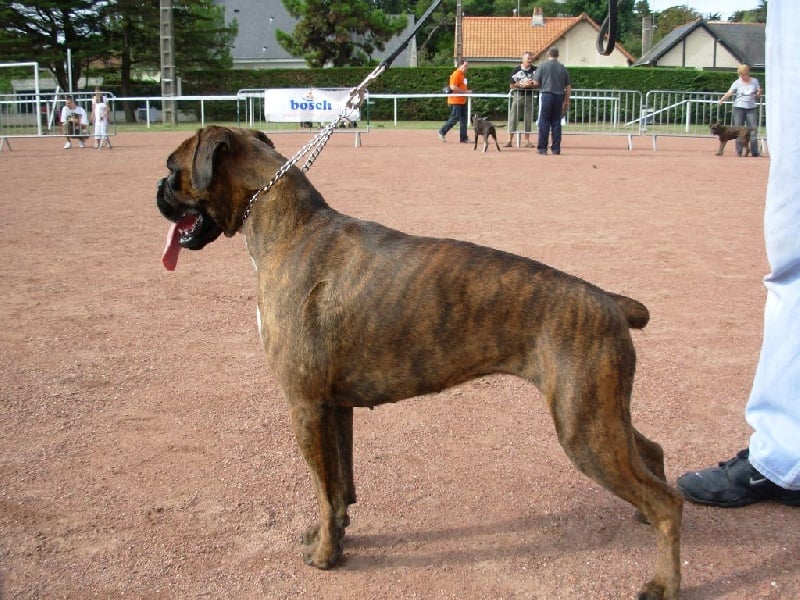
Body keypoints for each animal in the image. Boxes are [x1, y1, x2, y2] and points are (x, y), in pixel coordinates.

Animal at [159, 126, 684, 600]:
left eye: (170, 167)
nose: (158, 191)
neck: (289, 227)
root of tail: (610, 301)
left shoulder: (305, 407)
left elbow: (323, 488)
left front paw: (326, 555)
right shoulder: (335, 408)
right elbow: (339, 485)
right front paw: (336, 533)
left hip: (584, 429)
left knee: (669, 501)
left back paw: (664, 582)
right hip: (601, 412)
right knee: (652, 452)